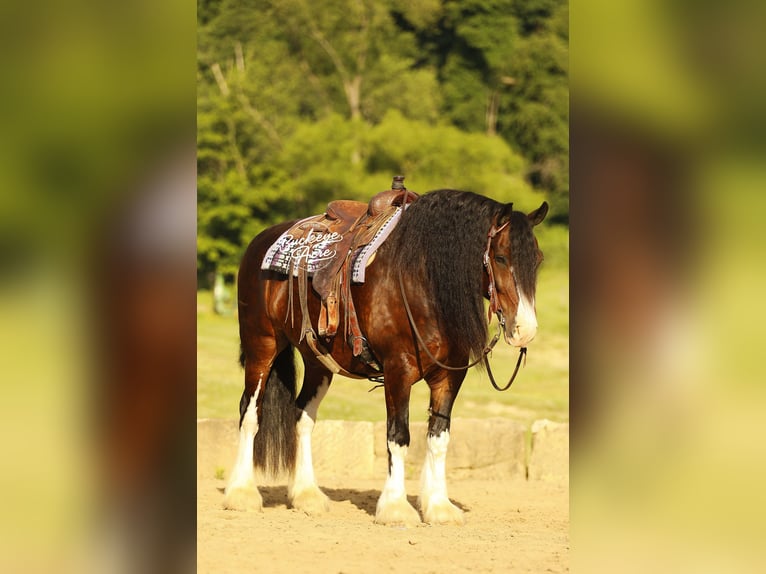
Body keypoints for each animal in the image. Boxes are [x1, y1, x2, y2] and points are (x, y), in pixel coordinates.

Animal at [222, 187, 548, 526]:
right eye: (500, 257)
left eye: (537, 260)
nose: (525, 329)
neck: (422, 282)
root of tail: (262, 240)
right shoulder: (397, 371)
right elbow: (398, 436)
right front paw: (395, 507)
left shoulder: (449, 376)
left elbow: (438, 438)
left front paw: (439, 507)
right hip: (262, 346)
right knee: (250, 412)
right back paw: (242, 493)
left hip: (318, 361)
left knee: (303, 416)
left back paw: (307, 495)